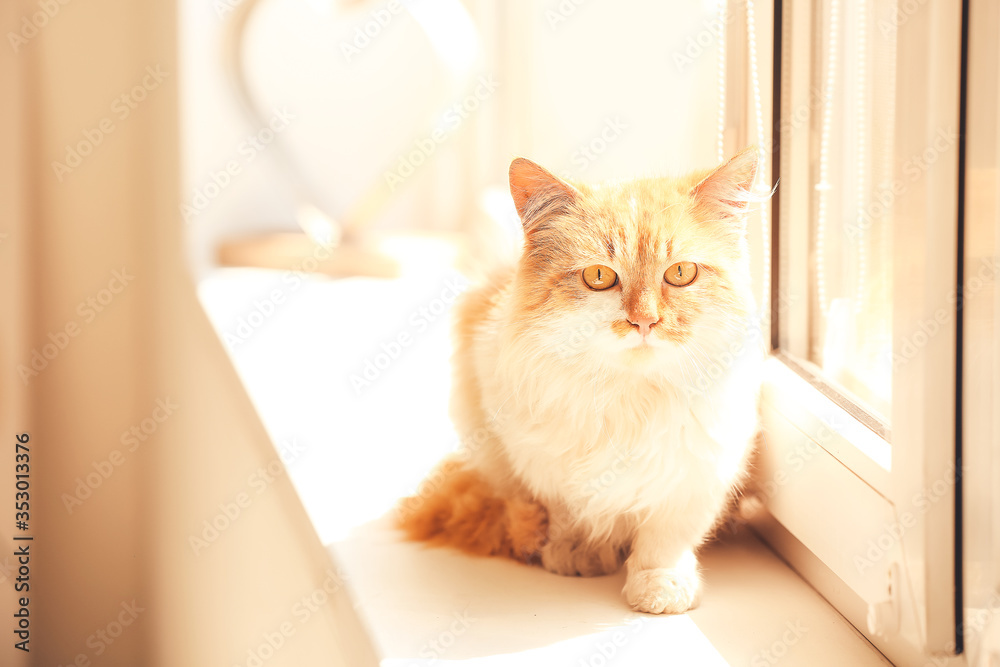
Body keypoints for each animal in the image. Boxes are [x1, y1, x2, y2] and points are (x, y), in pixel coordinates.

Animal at [398, 147, 764, 616]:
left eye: (681, 273)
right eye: (599, 277)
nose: (644, 321)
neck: (629, 398)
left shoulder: (696, 474)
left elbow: (664, 542)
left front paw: (660, 589)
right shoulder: (544, 468)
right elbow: (571, 516)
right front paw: (578, 553)